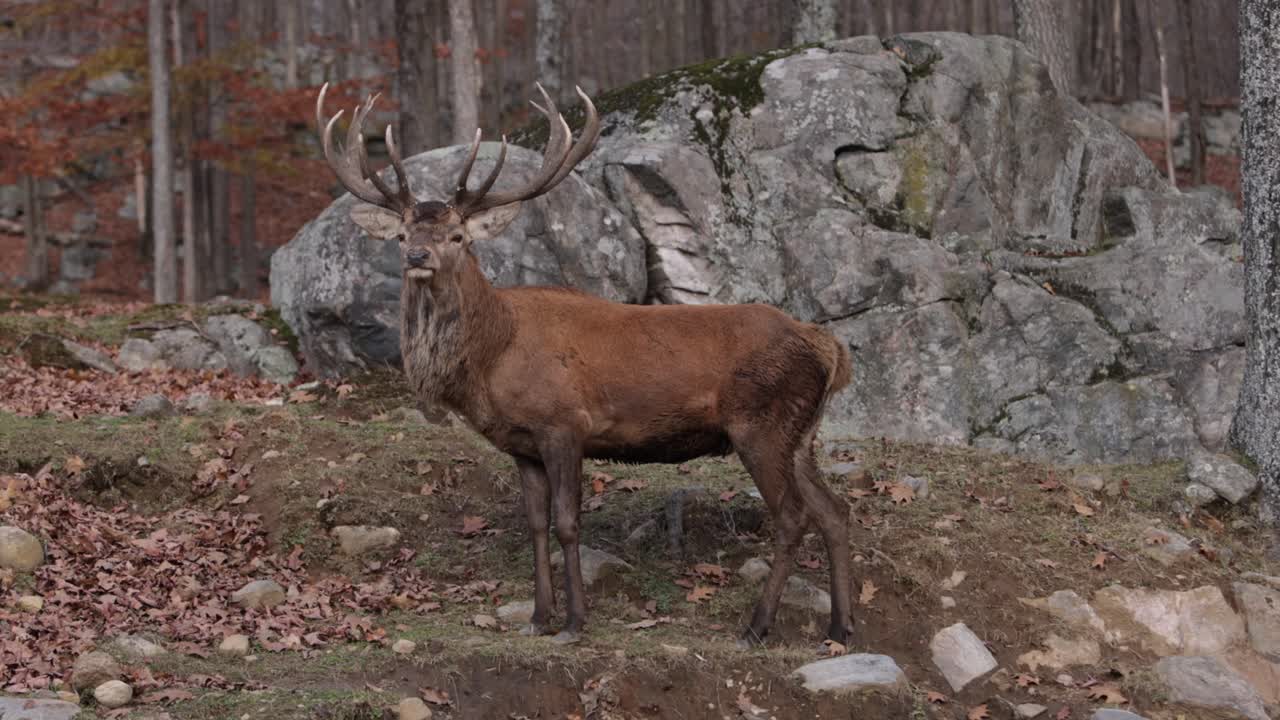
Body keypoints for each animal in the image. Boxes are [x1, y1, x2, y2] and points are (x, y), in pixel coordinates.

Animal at [315, 82, 855, 647]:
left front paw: (574, 621)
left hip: (761, 424)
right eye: (401, 235)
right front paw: (538, 616)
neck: (493, 353)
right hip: (800, 434)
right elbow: (535, 524)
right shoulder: (522, 445)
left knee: (794, 517)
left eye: (458, 236)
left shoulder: (564, 424)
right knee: (835, 511)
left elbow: (568, 523)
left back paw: (757, 625)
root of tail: (826, 346)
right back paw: (840, 627)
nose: (417, 256)